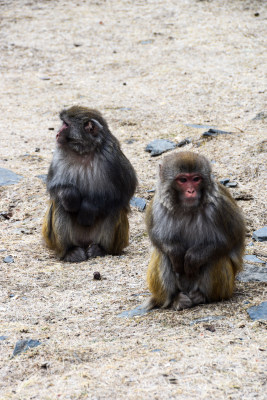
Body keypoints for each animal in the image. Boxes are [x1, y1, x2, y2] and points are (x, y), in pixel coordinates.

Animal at [43, 106, 138, 262]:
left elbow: (126, 190)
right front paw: (70, 196)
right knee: (60, 205)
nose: (57, 134)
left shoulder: (112, 157)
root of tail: (85, 242)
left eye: (66, 125)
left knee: (114, 208)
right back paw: (70, 251)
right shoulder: (58, 157)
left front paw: (88, 209)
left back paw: (101, 249)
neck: (84, 152)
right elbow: (53, 187)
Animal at [146, 152, 246, 310]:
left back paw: (203, 296)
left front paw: (193, 258)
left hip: (224, 289)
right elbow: (155, 236)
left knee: (216, 256)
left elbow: (232, 238)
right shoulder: (158, 205)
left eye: (196, 179)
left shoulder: (220, 206)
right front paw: (175, 252)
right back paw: (175, 299)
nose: (191, 191)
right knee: (163, 254)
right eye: (183, 180)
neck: (187, 209)